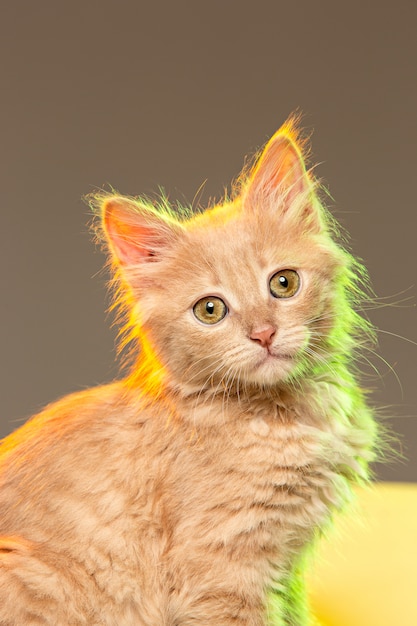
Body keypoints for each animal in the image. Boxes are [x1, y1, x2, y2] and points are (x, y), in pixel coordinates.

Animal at [0, 118, 376, 624]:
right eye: (210, 310)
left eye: (284, 283)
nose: (263, 334)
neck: (285, 418)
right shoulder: (221, 570)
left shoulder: (289, 571)